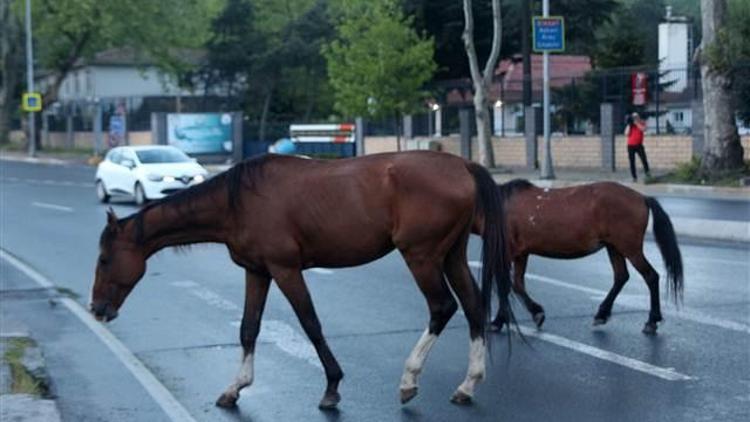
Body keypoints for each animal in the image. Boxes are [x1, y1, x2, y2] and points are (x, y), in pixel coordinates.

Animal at [89, 152, 516, 408]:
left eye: (105, 259)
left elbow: (310, 324)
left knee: (442, 307)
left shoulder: (285, 270)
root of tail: (462, 167)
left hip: (422, 256)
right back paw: (468, 384)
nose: (97, 308)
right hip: (452, 255)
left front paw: (332, 386)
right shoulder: (257, 272)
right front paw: (235, 387)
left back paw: (409, 379)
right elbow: (248, 328)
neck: (237, 202)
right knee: (473, 307)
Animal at [490, 180, 684, 334]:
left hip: (630, 248)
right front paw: (536, 313)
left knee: (650, 276)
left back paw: (651, 321)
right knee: (621, 276)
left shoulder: (507, 253)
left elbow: (504, 285)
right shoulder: (521, 254)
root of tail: (642, 198)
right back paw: (602, 314)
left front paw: (498, 321)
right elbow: (517, 285)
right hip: (614, 247)